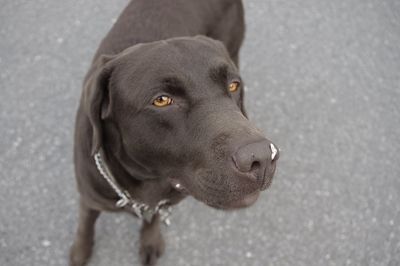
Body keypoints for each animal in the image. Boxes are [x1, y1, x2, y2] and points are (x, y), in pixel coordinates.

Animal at [70, 1, 278, 264]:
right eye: (162, 100)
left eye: (233, 85)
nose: (262, 157)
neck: (147, 182)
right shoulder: (90, 195)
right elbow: (86, 223)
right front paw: (80, 251)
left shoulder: (166, 199)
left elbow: (154, 218)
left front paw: (150, 240)